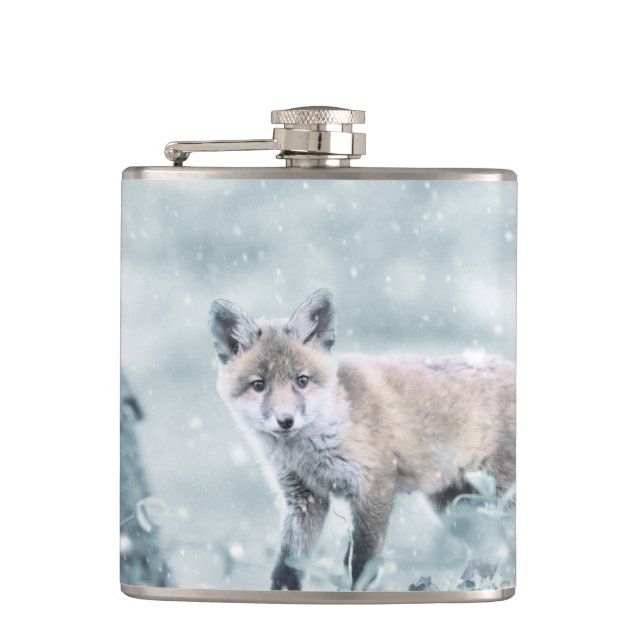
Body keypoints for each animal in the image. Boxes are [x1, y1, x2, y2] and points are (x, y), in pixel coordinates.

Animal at [209, 288, 515, 591]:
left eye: (302, 380)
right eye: (259, 385)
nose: (285, 421)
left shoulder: (374, 487)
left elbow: (361, 564)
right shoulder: (303, 499)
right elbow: (288, 566)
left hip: (498, 500)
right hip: (454, 507)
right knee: (490, 547)